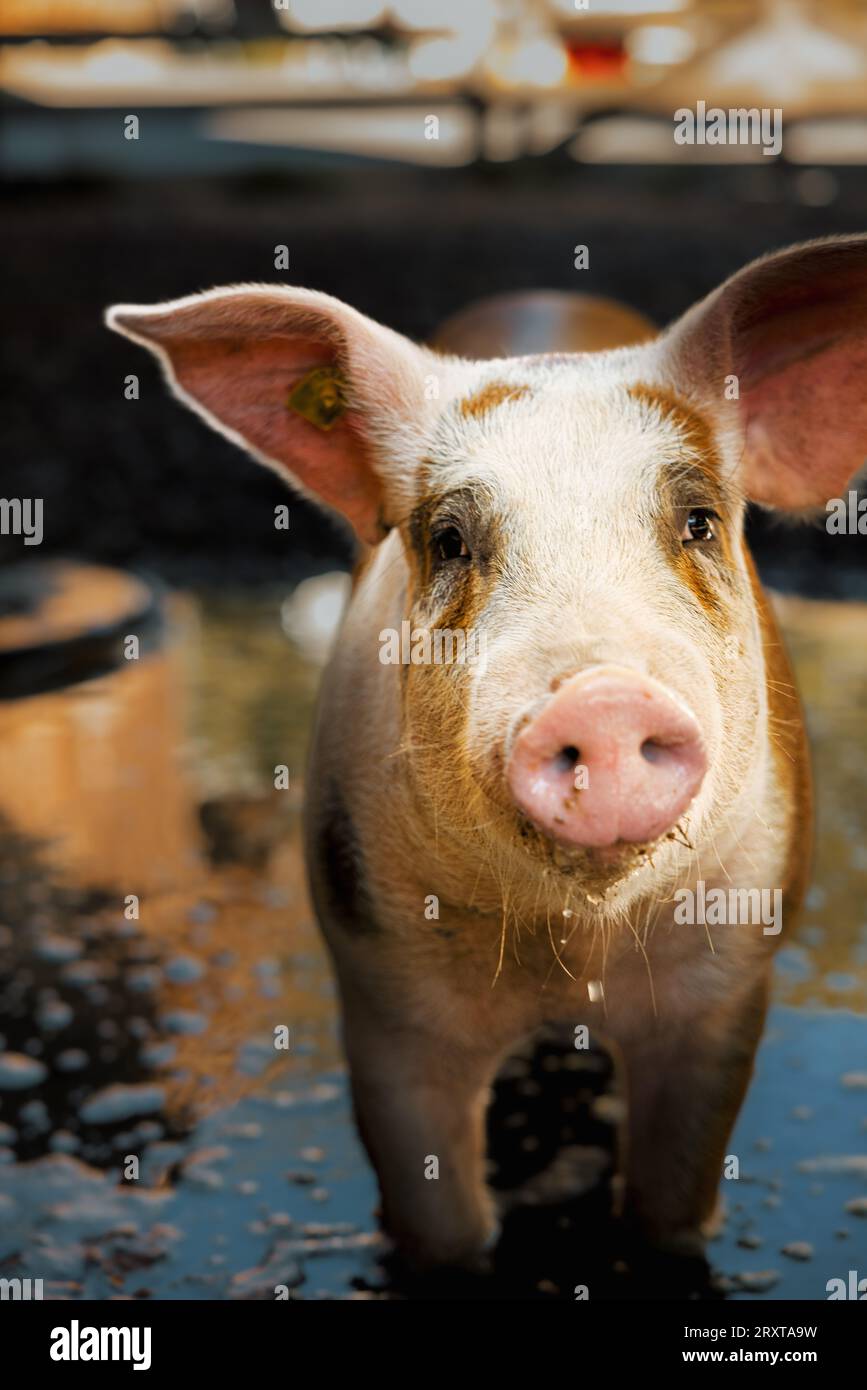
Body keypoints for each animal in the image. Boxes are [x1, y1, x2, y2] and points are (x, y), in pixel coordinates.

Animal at [106, 236, 867, 1273]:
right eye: (450, 538)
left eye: (698, 522)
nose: (602, 695)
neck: (568, 948)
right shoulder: (382, 988)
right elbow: (439, 1220)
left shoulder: (727, 979)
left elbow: (671, 1203)